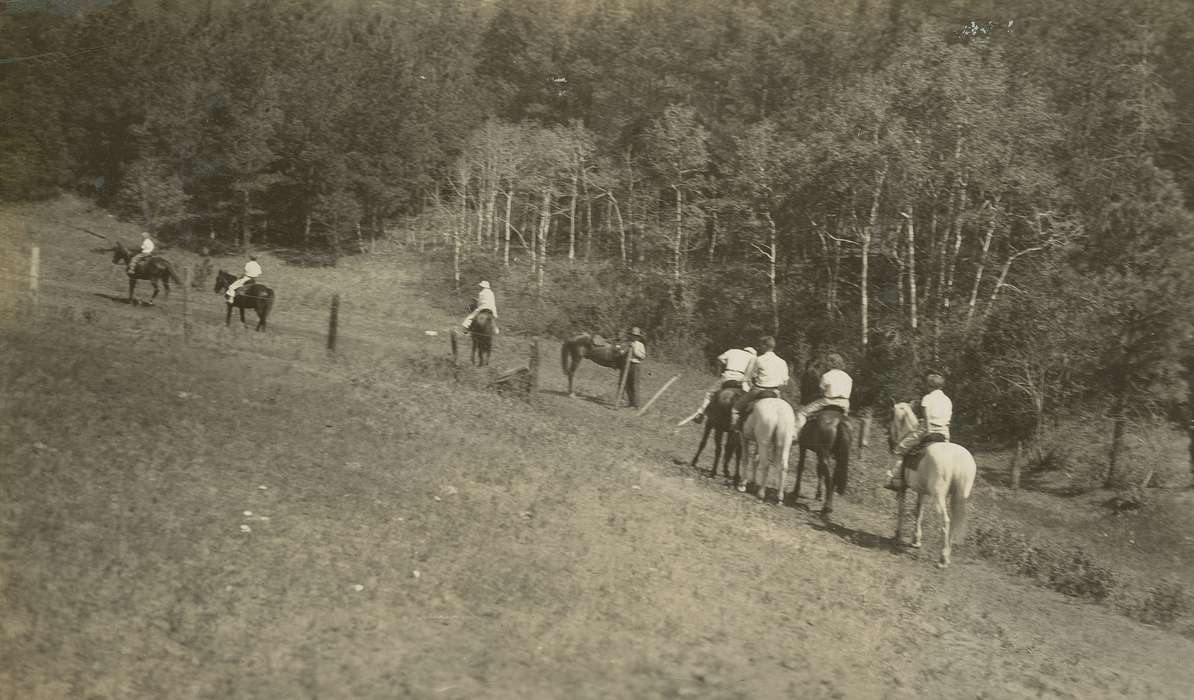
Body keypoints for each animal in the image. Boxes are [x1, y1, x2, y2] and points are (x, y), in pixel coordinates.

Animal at [893, 403, 974, 566]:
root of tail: (959, 460)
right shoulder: (921, 491)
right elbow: (919, 512)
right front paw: (915, 540)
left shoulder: (903, 488)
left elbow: (902, 509)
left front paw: (898, 535)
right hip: (958, 497)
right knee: (953, 522)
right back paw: (947, 555)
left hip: (938, 497)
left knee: (946, 521)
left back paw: (942, 558)